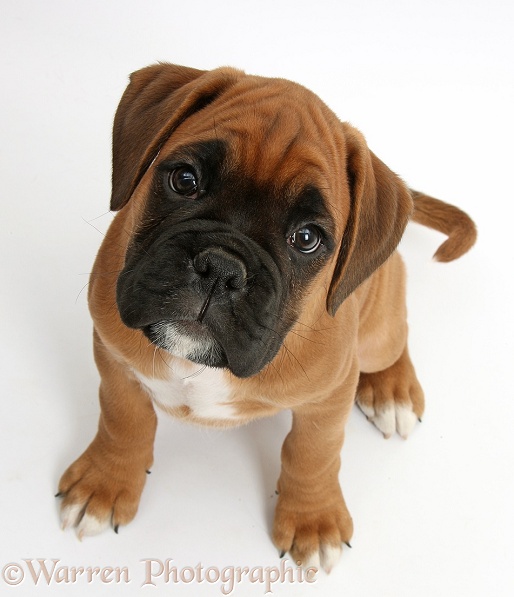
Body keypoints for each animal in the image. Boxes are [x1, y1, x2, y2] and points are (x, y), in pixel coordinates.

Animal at [57, 62, 476, 572]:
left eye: (307, 239)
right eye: (184, 180)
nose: (221, 268)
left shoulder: (330, 395)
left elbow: (314, 452)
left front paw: (313, 519)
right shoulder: (115, 358)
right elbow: (123, 420)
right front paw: (106, 481)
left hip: (379, 331)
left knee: (395, 340)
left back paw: (392, 390)